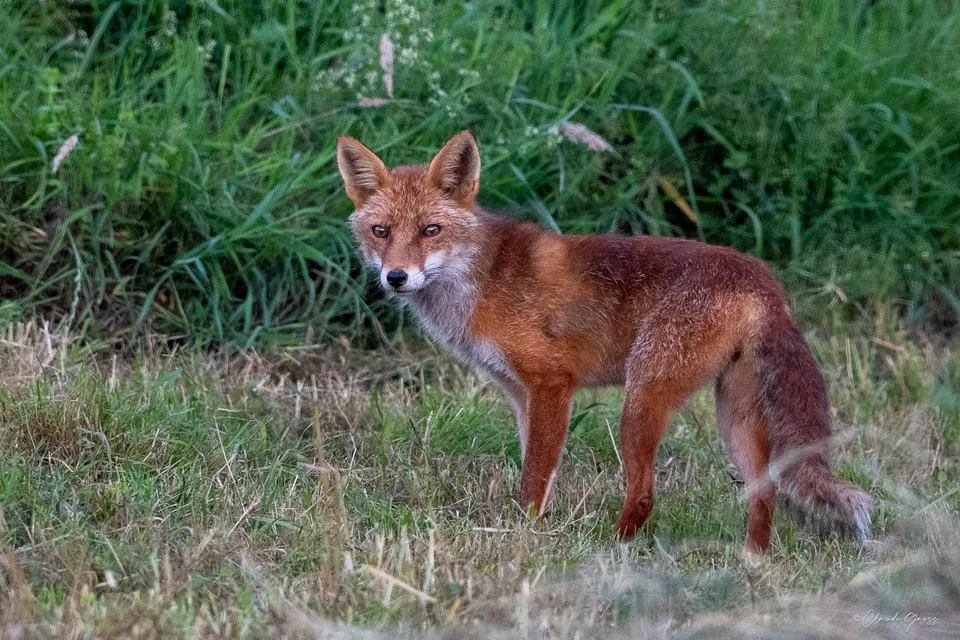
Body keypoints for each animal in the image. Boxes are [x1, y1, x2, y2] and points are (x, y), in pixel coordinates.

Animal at [336, 130, 873, 553]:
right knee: (764, 492)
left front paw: (523, 536)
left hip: (641, 398)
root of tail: (764, 280)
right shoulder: (521, 395)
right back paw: (751, 564)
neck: (482, 279)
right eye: (381, 231)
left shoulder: (554, 381)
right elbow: (538, 468)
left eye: (431, 230)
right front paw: (535, 527)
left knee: (646, 494)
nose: (396, 277)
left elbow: (534, 477)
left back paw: (610, 551)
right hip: (733, 415)